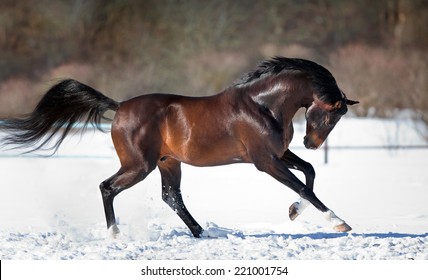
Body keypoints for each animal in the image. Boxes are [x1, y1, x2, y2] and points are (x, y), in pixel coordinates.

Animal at [0, 57, 358, 238]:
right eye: (330, 116)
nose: (311, 143)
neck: (263, 105)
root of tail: (120, 107)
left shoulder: (279, 154)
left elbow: (309, 174)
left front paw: (294, 211)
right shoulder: (265, 161)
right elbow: (305, 185)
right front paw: (340, 222)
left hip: (168, 162)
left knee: (171, 197)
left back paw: (203, 233)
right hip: (139, 166)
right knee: (107, 187)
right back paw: (115, 234)